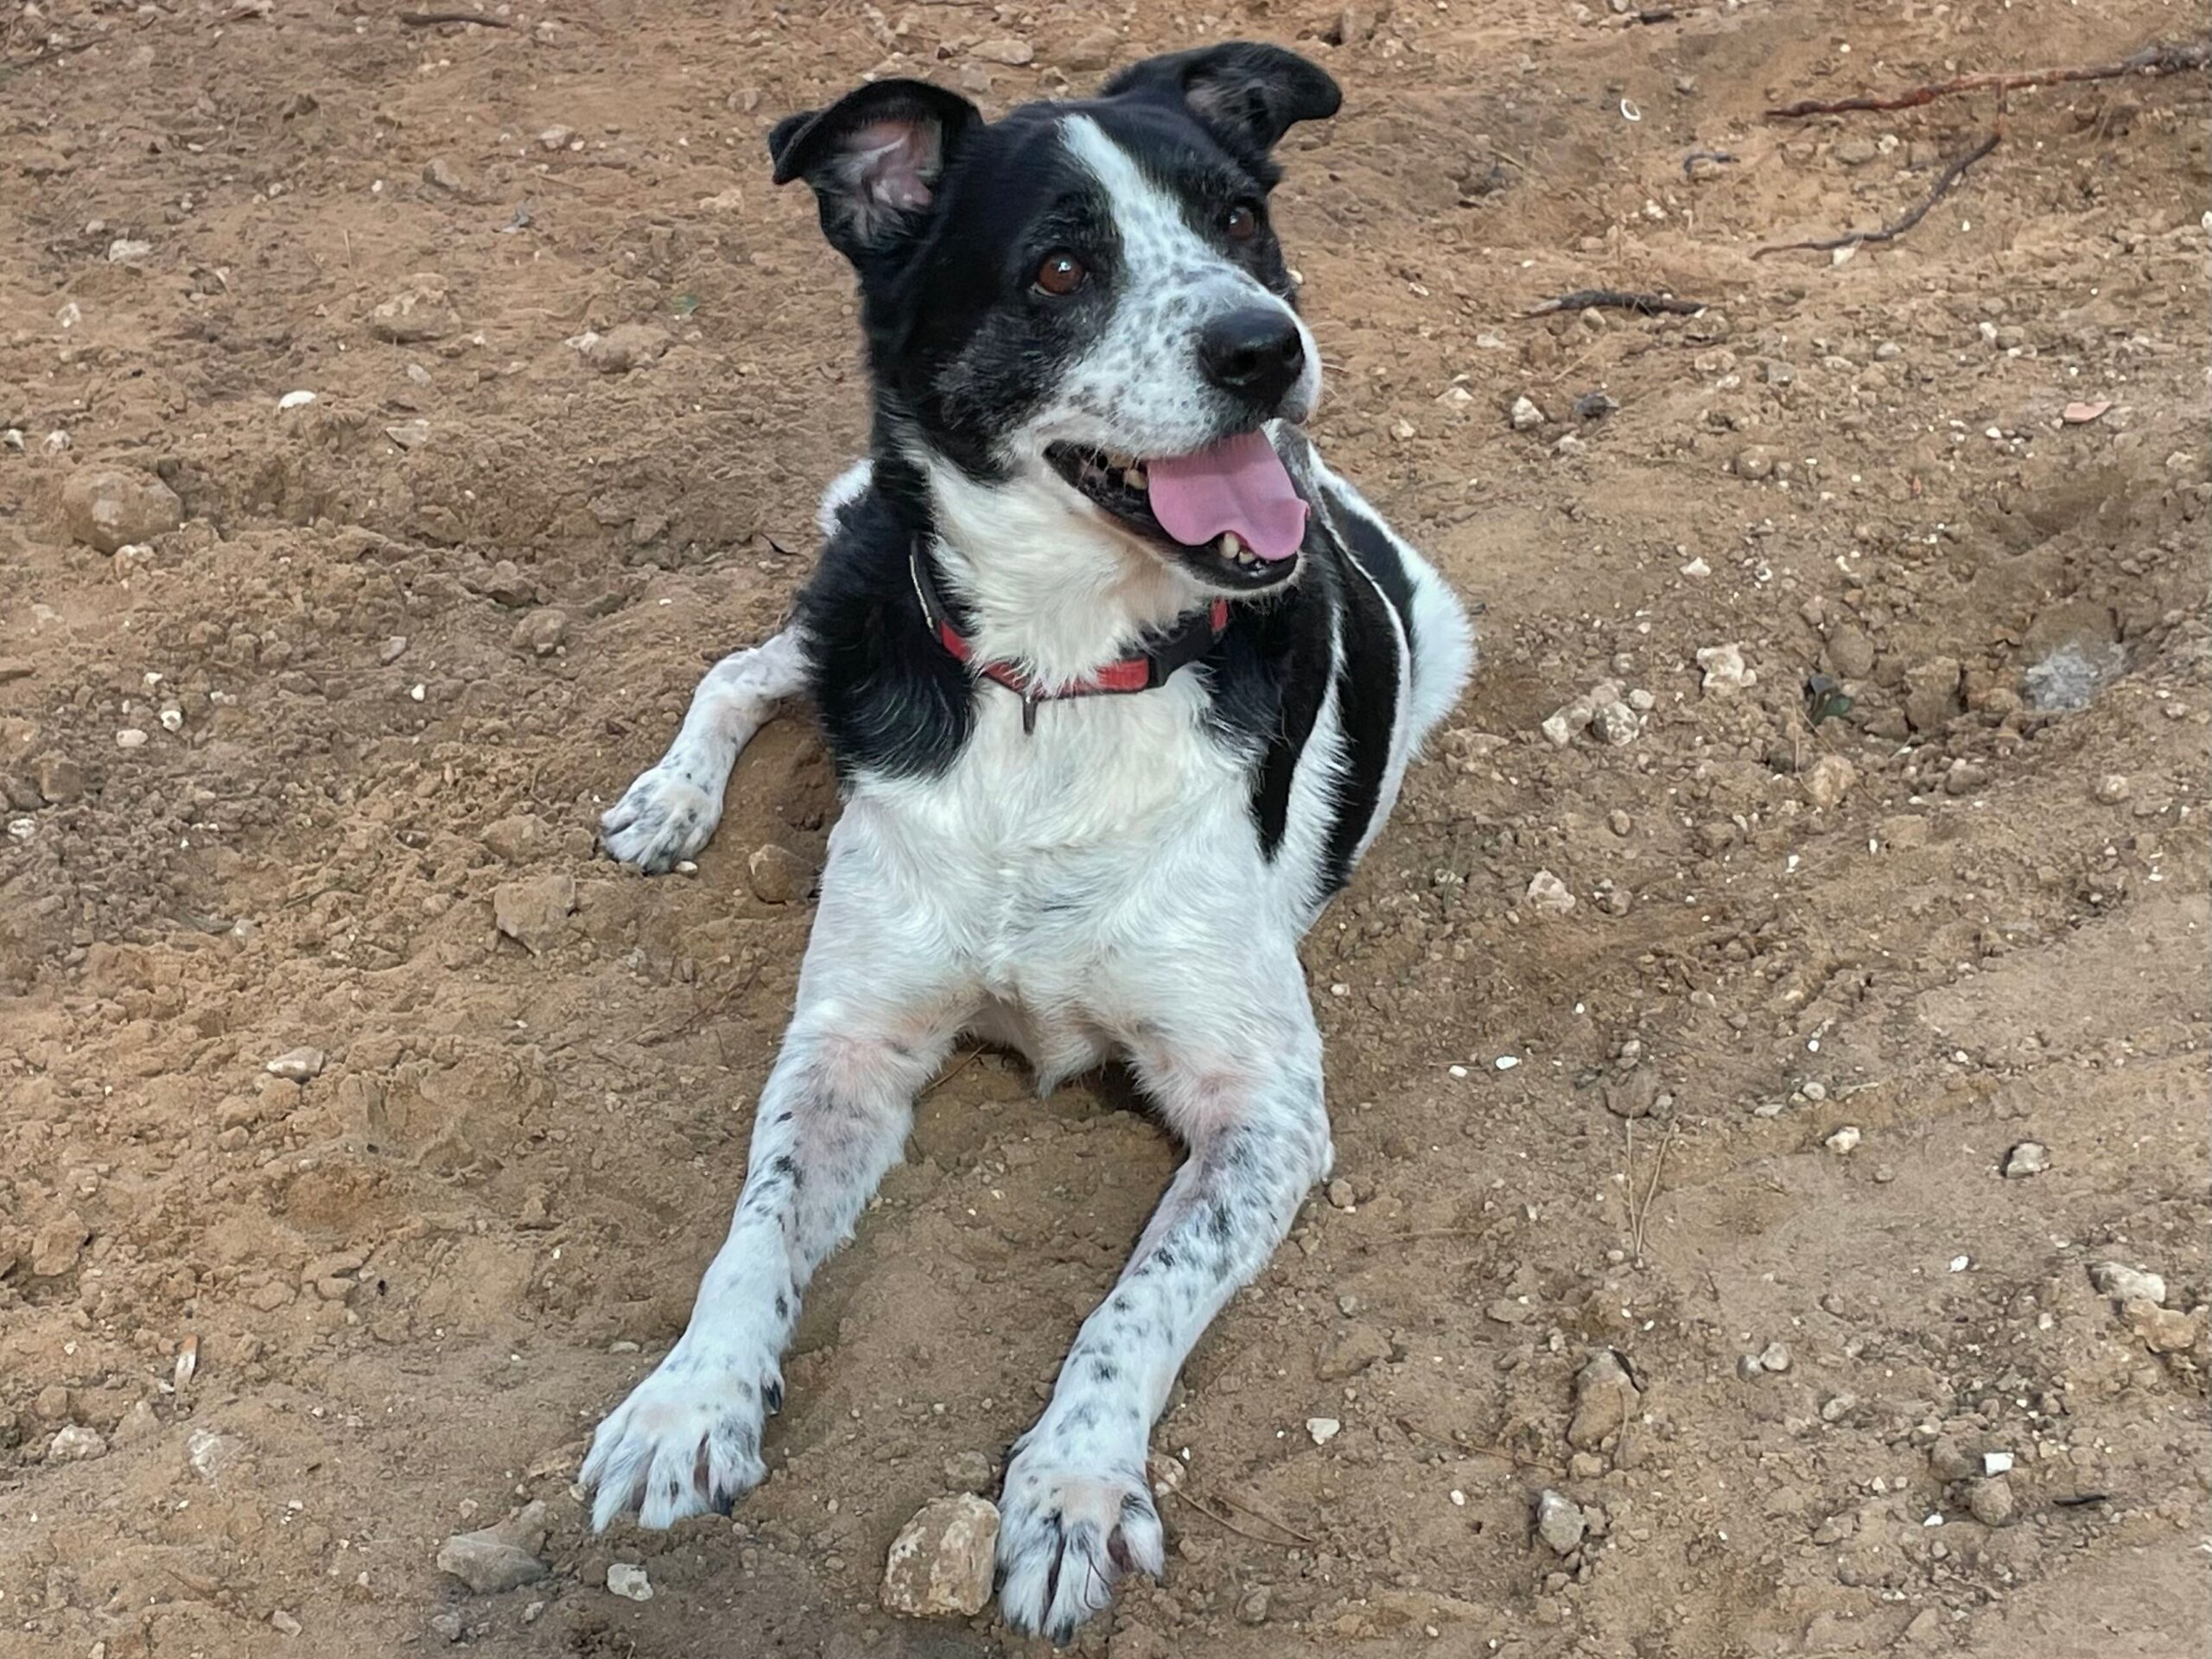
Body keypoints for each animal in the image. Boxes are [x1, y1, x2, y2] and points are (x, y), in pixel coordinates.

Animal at [579, 42, 1474, 1641]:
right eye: (1060, 268)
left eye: (1239, 218)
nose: (1268, 348)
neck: (1060, 686)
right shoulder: (850, 1043)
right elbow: (755, 1227)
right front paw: (688, 1402)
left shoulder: (1264, 1112)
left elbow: (1137, 1301)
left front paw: (1071, 1490)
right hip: (857, 583)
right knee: (749, 666)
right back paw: (672, 797)